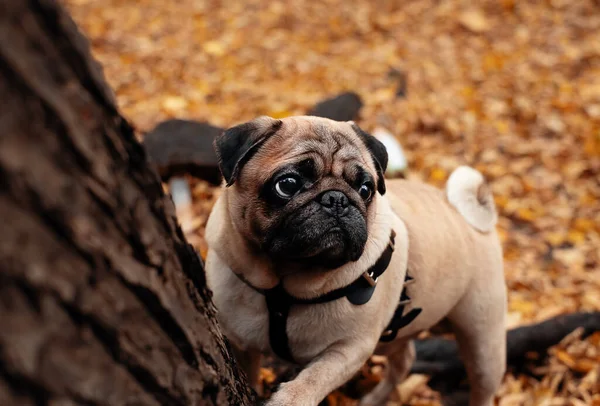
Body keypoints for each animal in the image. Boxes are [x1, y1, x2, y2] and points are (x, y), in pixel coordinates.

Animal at [203, 115, 506, 406]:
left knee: (482, 386)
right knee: (404, 361)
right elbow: (249, 373)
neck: (283, 289)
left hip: (484, 342)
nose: (337, 199)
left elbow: (314, 378)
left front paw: (289, 400)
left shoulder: (350, 349)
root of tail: (466, 213)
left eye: (365, 189)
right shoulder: (240, 344)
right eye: (287, 185)